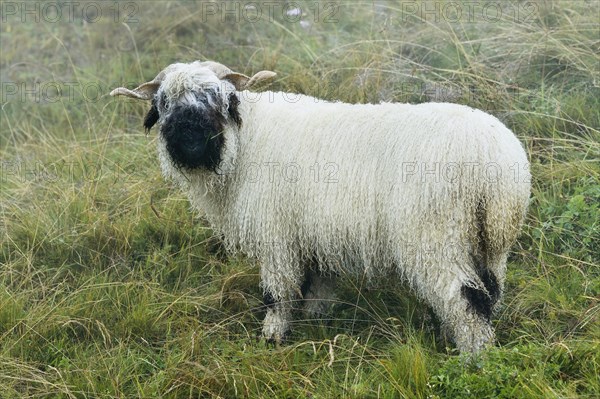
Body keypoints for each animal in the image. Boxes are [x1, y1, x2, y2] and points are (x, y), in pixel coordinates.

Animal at [111, 59, 528, 354]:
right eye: (164, 103)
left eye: (220, 98)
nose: (191, 142)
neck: (246, 141)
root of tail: (495, 159)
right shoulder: (314, 234)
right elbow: (318, 285)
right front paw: (316, 322)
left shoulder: (276, 234)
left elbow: (278, 293)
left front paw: (272, 337)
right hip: (488, 242)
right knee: (488, 292)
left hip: (434, 234)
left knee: (465, 298)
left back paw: (475, 356)